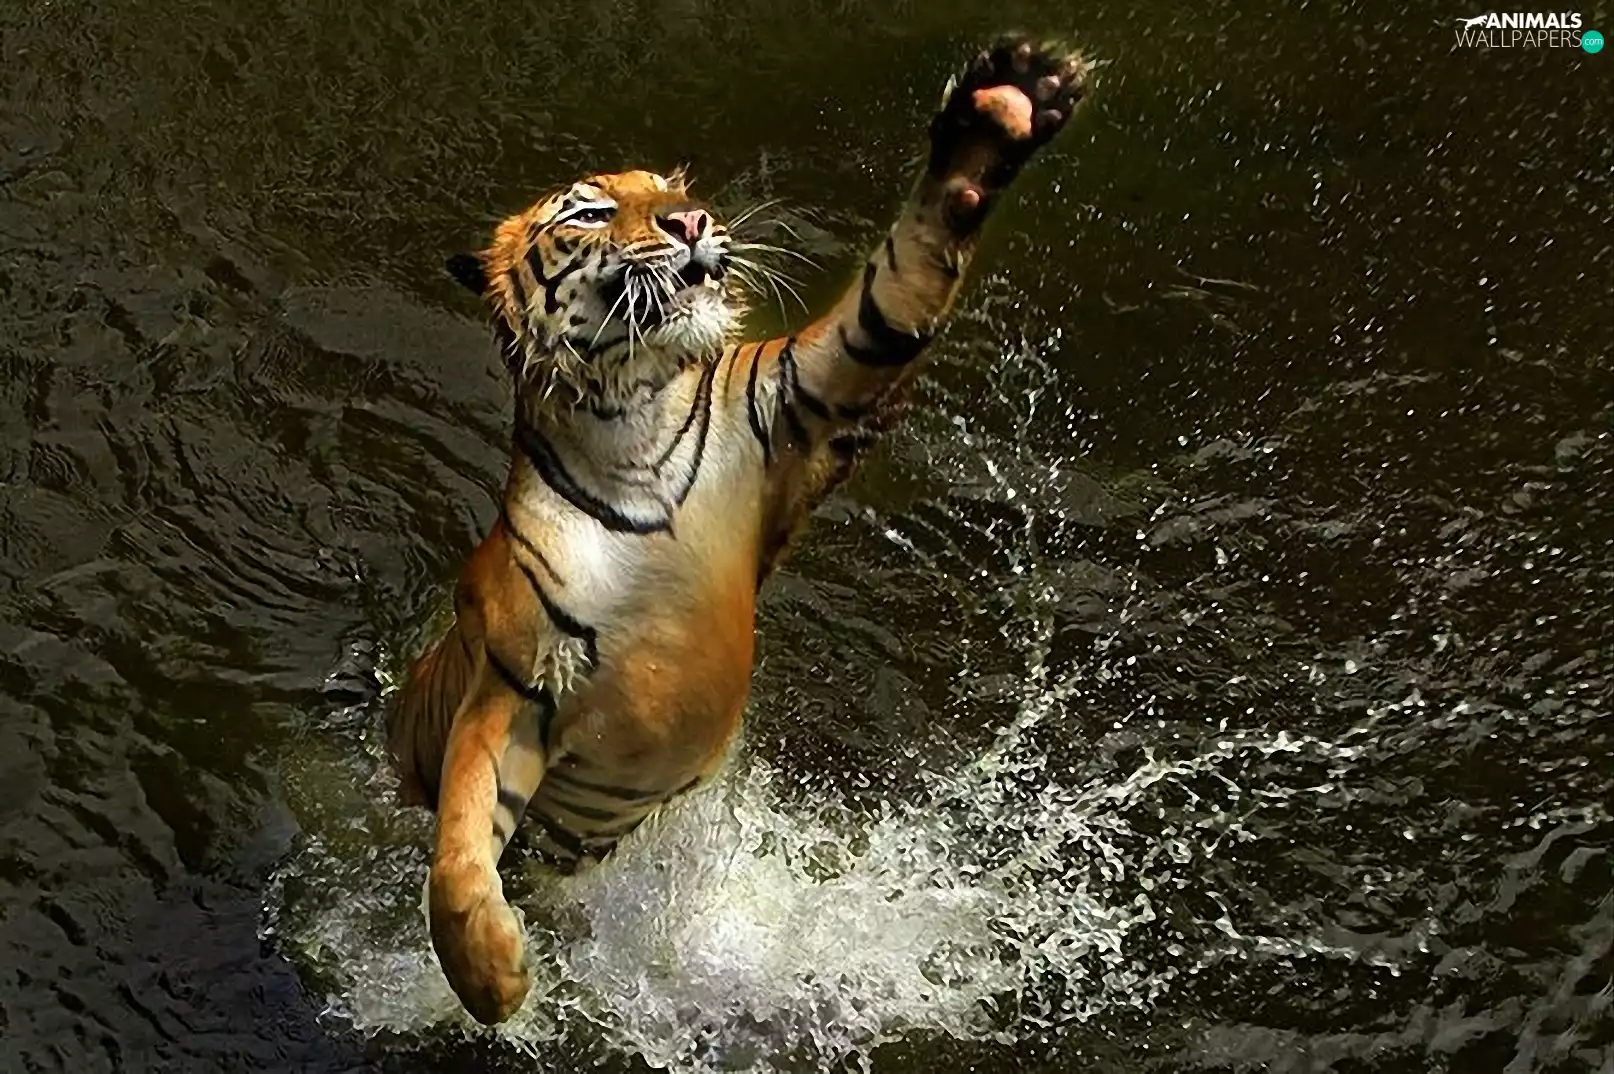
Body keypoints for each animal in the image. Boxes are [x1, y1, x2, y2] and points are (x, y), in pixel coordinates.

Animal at [387, 37, 1088, 1025]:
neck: (633, 427)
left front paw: (1006, 105)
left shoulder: (807, 394)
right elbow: (454, 848)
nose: (690, 220)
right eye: (594, 210)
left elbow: (896, 290)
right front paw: (494, 981)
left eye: (671, 186)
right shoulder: (511, 684)